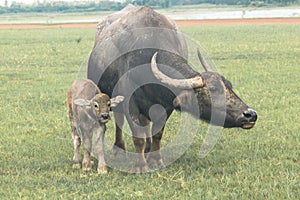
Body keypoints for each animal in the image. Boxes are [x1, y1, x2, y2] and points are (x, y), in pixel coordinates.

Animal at [87, 5, 258, 173]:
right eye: (213, 89)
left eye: (229, 86)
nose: (251, 114)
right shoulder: (130, 102)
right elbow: (138, 136)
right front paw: (141, 166)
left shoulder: (166, 105)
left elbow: (157, 133)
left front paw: (155, 160)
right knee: (120, 121)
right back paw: (119, 149)